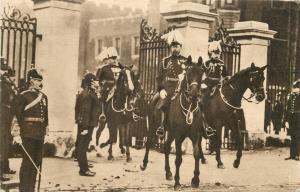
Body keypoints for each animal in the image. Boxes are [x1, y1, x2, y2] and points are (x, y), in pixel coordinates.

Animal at [141, 59, 204, 190]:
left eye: (201, 74)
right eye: (188, 74)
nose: (194, 95)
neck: (188, 108)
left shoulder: (195, 135)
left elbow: (196, 154)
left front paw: (195, 180)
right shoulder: (178, 136)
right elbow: (178, 158)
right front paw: (177, 182)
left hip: (170, 132)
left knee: (166, 146)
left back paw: (168, 172)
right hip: (154, 127)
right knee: (148, 143)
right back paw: (144, 164)